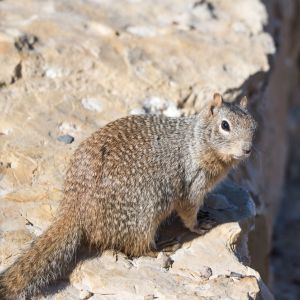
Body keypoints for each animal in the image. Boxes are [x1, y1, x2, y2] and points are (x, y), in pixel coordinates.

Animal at [1, 92, 256, 298]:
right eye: (225, 125)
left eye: (254, 125)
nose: (247, 149)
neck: (196, 140)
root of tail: (75, 208)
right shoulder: (193, 183)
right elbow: (188, 211)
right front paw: (199, 224)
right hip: (144, 214)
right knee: (136, 247)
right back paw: (161, 247)